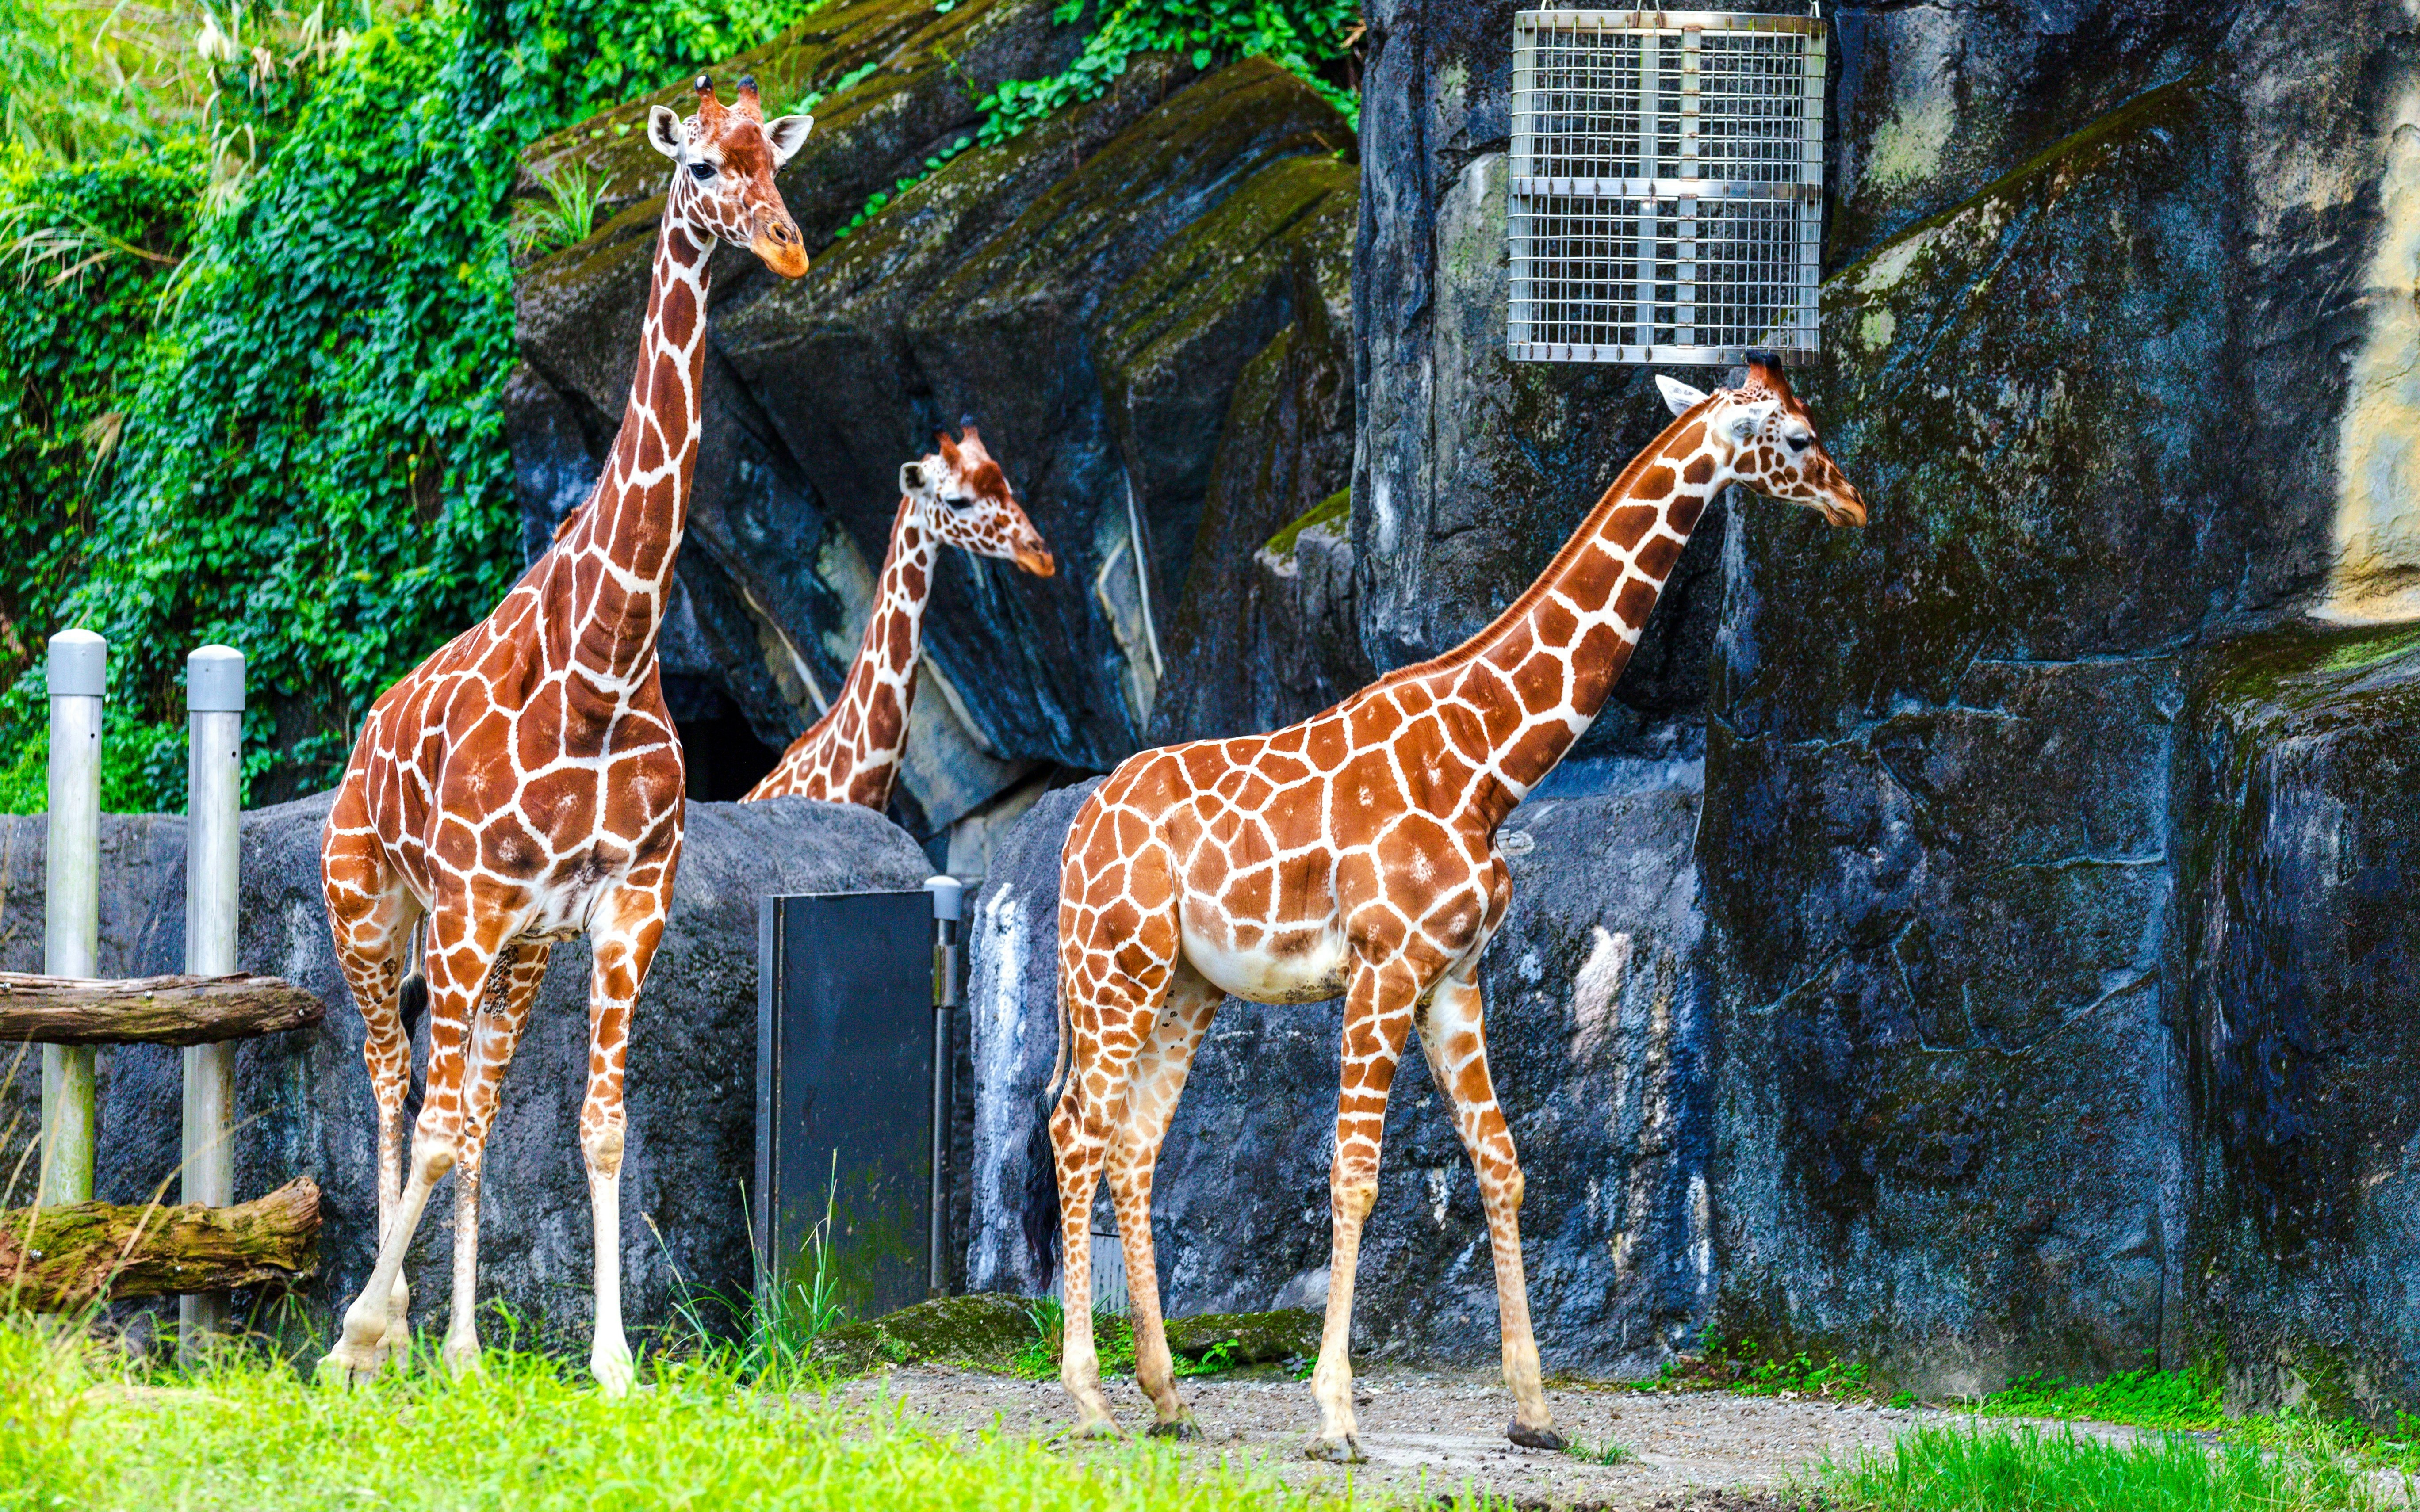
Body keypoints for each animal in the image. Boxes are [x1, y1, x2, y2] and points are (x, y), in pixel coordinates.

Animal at [314, 75, 812, 1394]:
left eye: (775, 160)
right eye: (699, 168)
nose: (786, 243)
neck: (607, 656)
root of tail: (361, 738)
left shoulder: (624, 900)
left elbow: (598, 1126)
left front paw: (611, 1361)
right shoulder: (472, 902)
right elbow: (434, 1122)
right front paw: (358, 1335)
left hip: (514, 953)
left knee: (474, 1106)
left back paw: (459, 1350)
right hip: (372, 908)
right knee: (393, 1084)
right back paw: (379, 1337)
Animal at [1048, 359, 1866, 1457]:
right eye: (1800, 436)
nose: (1854, 504)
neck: (1487, 764)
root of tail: (1075, 834)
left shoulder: (1454, 978)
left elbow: (1503, 1164)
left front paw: (1535, 1412)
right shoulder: (1384, 966)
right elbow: (1356, 1174)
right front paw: (1335, 1415)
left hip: (1186, 984)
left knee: (1132, 1147)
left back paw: (1168, 1397)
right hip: (1116, 967)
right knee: (1076, 1132)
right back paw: (1092, 1399)